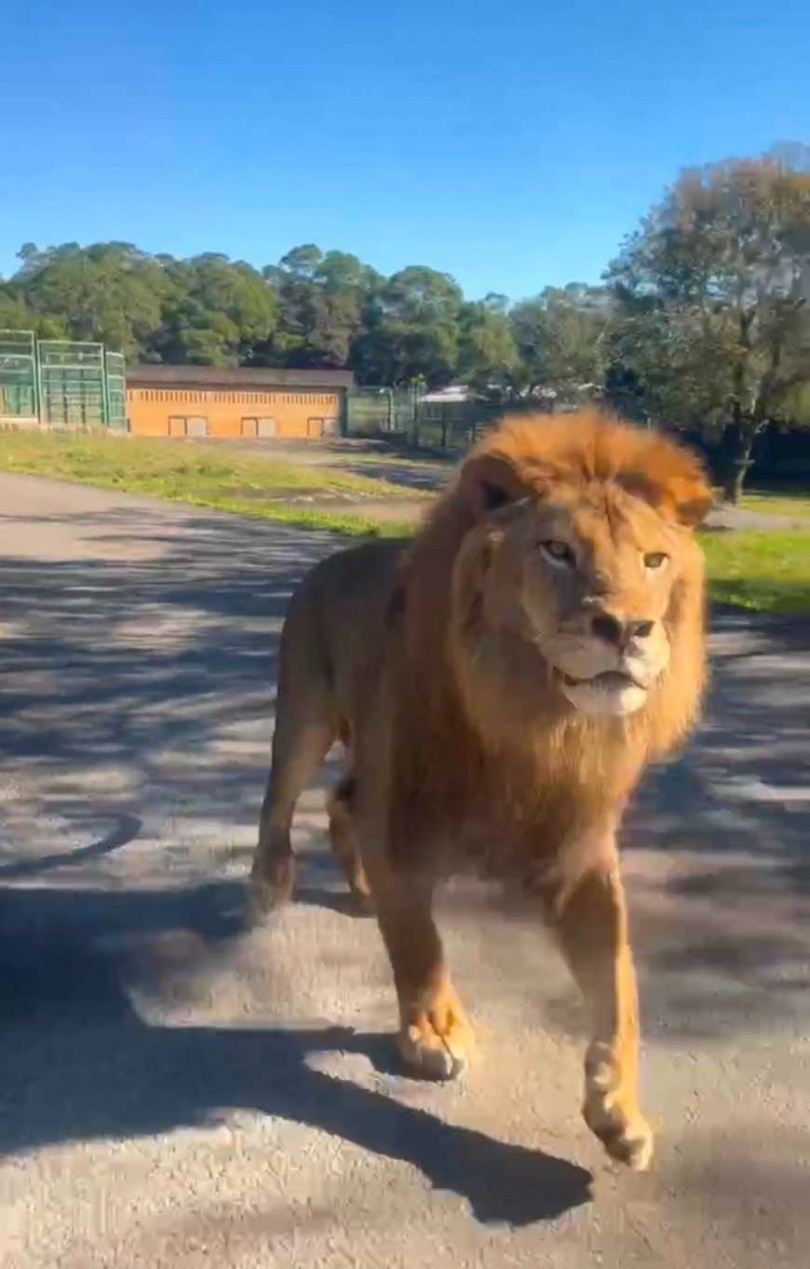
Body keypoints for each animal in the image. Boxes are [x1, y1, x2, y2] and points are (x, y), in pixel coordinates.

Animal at [252, 408, 710, 1167]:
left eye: (654, 561)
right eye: (557, 550)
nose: (628, 628)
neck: (531, 719)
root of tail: (333, 559)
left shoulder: (579, 856)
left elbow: (620, 987)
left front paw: (618, 1109)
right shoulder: (402, 823)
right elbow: (419, 945)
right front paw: (433, 1032)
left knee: (340, 801)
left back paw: (361, 888)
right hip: (305, 716)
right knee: (280, 800)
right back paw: (269, 884)